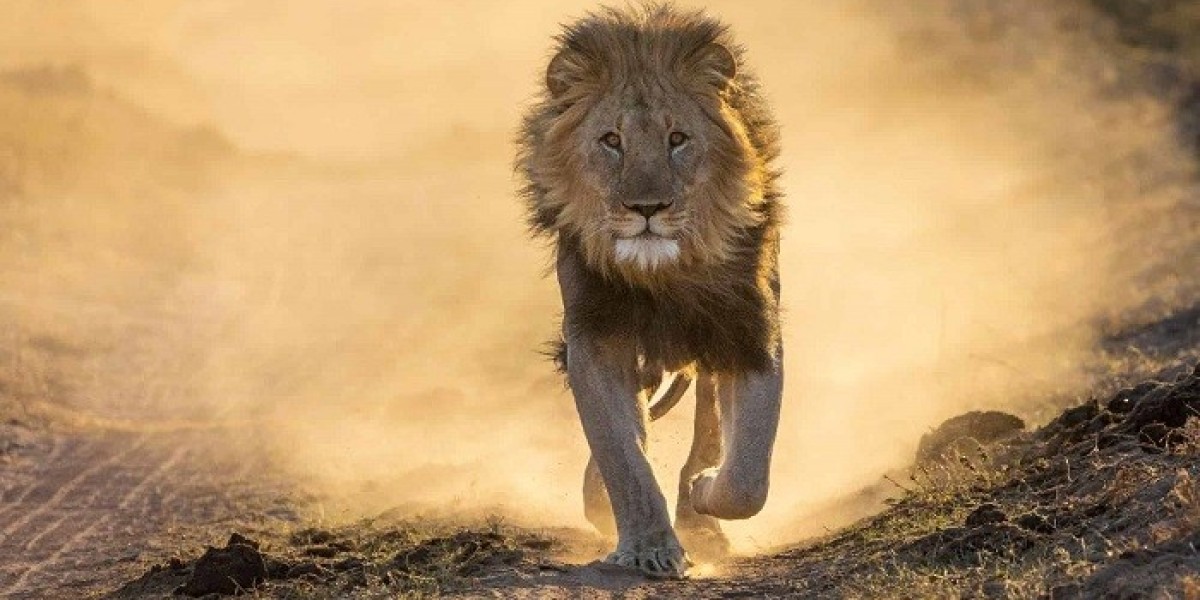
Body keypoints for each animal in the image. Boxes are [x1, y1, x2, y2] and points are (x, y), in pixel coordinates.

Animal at [516, 4, 784, 579]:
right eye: (611, 141)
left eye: (677, 139)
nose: (647, 208)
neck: (665, 274)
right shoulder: (596, 337)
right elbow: (623, 453)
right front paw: (647, 546)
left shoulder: (749, 330)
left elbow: (748, 472)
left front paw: (705, 496)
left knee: (708, 425)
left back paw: (699, 511)